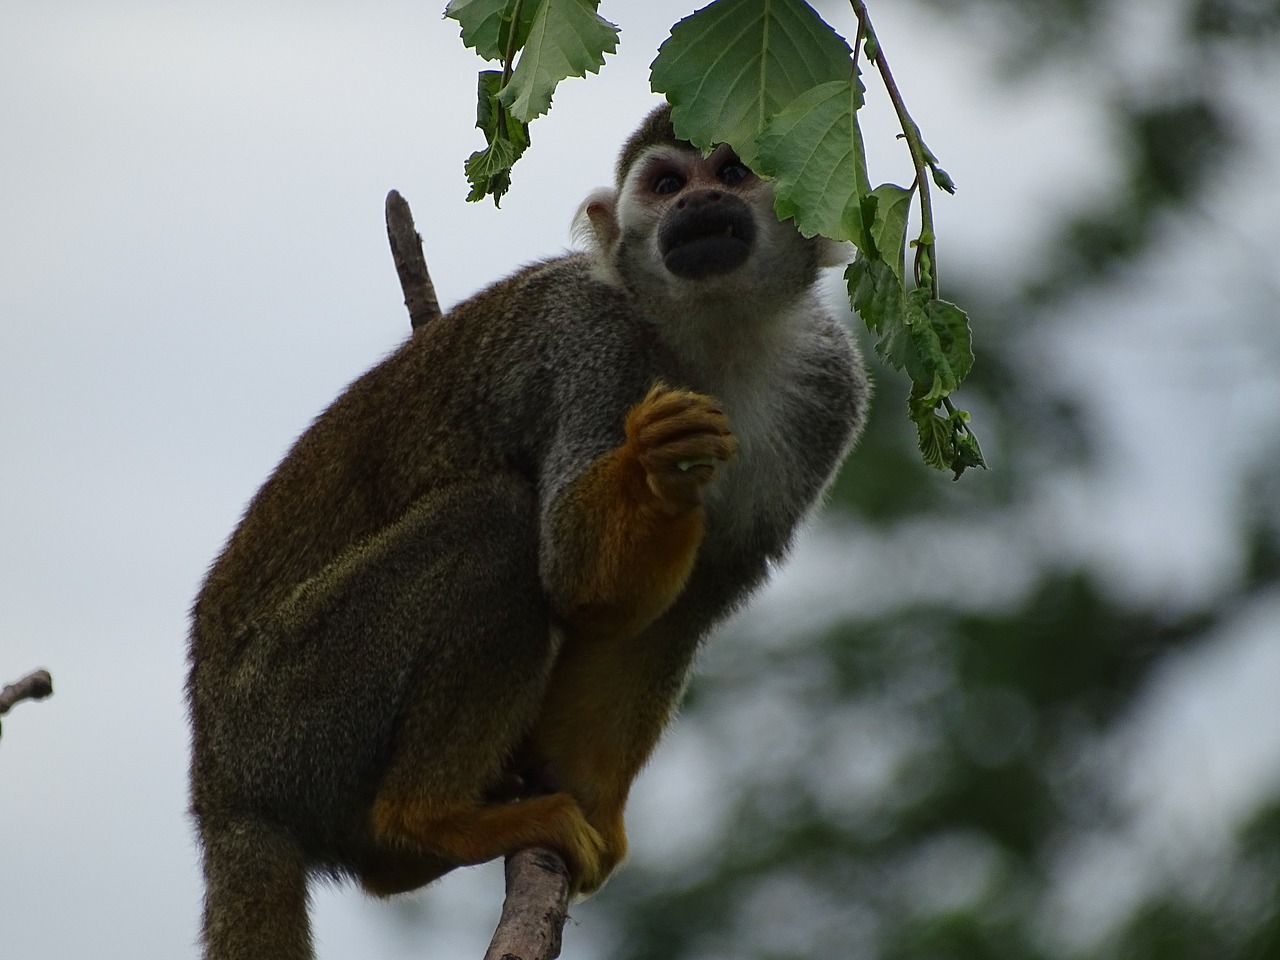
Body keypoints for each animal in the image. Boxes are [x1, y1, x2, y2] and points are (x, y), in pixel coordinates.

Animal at [186, 104, 870, 960]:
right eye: (666, 183)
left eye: (732, 173)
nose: (695, 206)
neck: (714, 332)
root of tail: (219, 787)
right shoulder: (593, 345)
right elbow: (578, 579)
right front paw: (661, 463)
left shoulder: (831, 392)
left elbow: (669, 615)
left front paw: (595, 803)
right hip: (291, 711)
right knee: (495, 522)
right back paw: (427, 820)